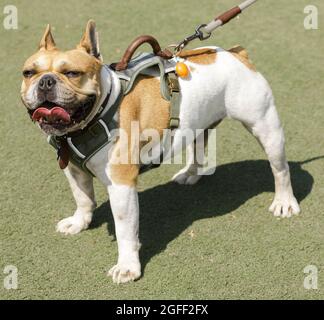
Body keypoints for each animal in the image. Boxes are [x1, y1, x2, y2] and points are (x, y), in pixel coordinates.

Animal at [20, 21, 302, 284]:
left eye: (72, 73)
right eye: (28, 73)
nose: (45, 81)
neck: (100, 110)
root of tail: (235, 54)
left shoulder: (121, 184)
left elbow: (124, 229)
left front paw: (127, 267)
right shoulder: (74, 170)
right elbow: (83, 198)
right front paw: (79, 222)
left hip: (265, 127)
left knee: (280, 169)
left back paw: (284, 202)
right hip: (198, 123)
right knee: (198, 146)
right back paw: (190, 173)